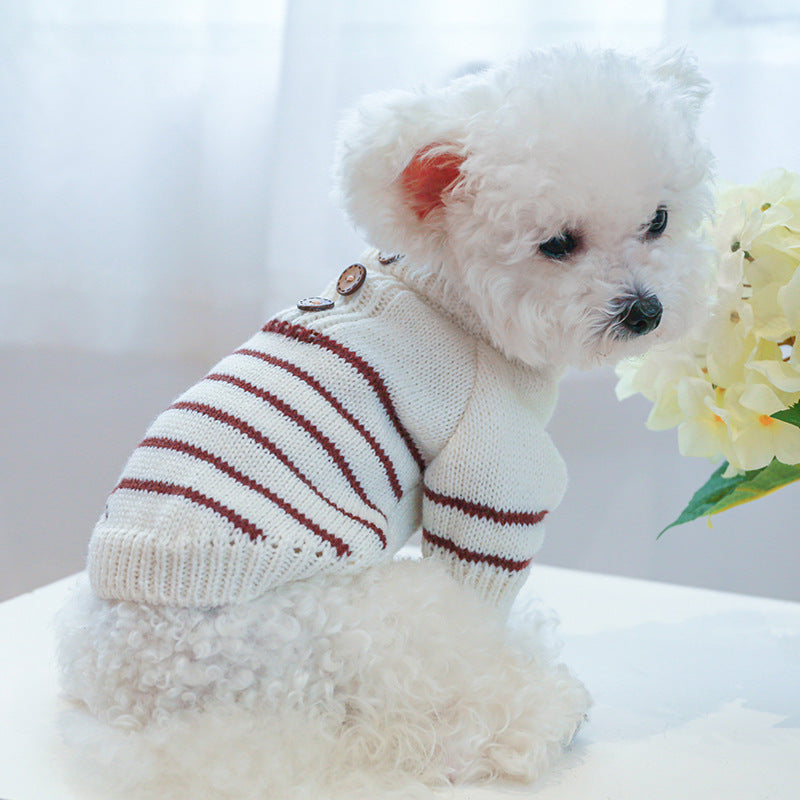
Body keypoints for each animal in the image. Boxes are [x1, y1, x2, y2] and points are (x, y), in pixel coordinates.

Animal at [59, 47, 716, 796]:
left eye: (658, 219)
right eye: (556, 244)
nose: (645, 310)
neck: (452, 294)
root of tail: (141, 702)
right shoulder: (494, 473)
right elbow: (484, 587)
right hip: (363, 619)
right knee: (433, 707)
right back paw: (535, 718)